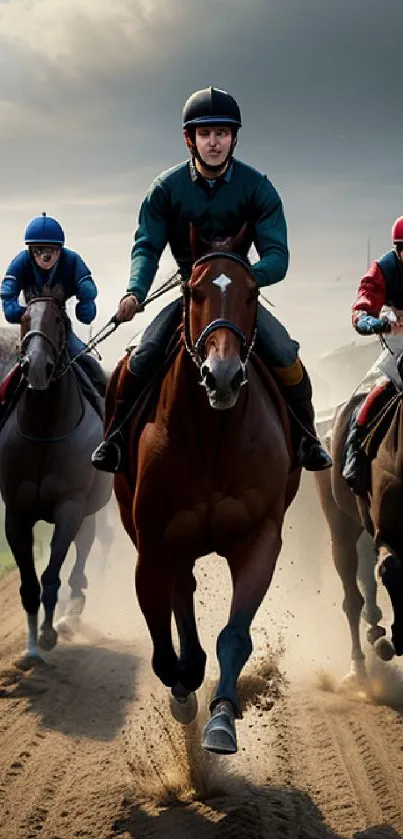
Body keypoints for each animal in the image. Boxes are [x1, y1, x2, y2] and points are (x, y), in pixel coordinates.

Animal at [112, 230, 302, 756]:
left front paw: (221, 719)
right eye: (193, 291)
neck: (213, 437)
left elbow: (235, 635)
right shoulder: (153, 545)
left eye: (253, 292)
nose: (223, 375)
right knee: (181, 592)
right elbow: (161, 643)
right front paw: (183, 687)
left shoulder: (260, 537)